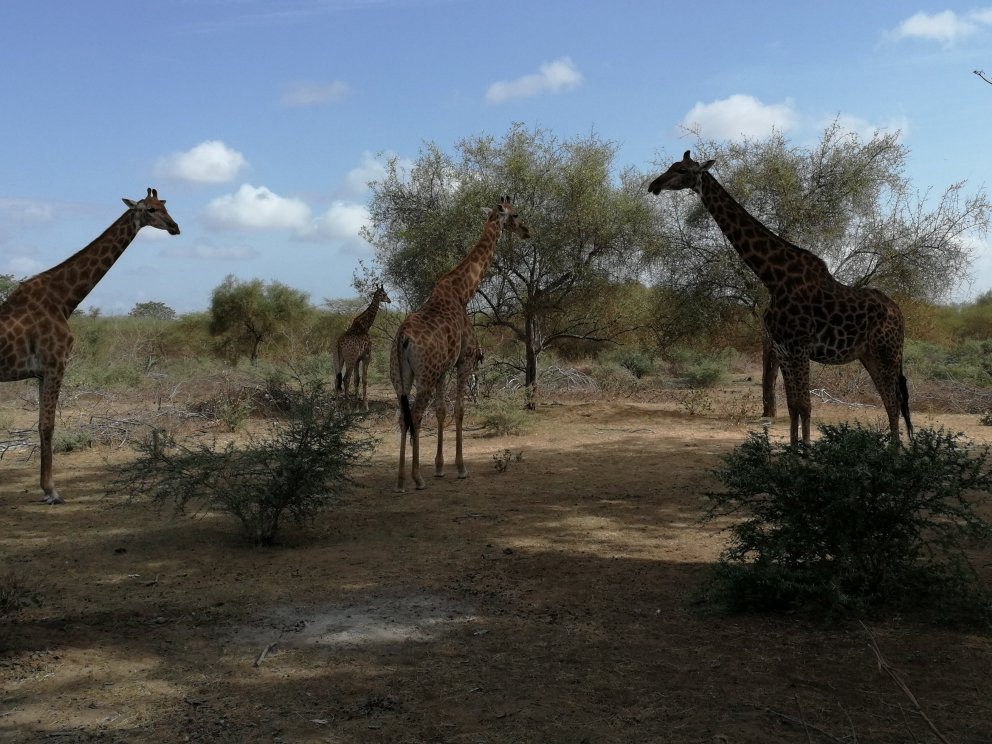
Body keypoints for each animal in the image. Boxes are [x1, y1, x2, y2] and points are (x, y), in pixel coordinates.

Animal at [0, 189, 180, 506]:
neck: (64, 299)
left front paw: (46, 488)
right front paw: (51, 491)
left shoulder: (42, 372)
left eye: (165, 205)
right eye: (150, 209)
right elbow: (47, 426)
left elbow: (41, 424)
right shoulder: (55, 364)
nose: (175, 227)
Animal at [388, 198, 532, 492]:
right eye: (515, 215)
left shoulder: (444, 368)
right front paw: (461, 467)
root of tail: (403, 338)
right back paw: (416, 478)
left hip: (401, 377)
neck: (463, 292)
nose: (527, 231)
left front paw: (440, 467)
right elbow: (460, 410)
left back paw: (400, 480)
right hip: (425, 375)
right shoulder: (464, 361)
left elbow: (442, 411)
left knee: (402, 416)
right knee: (416, 415)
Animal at [648, 150, 912, 442]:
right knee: (890, 401)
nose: (653, 185)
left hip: (888, 351)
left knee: (894, 402)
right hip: (869, 355)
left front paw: (806, 451)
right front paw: (793, 449)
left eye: (682, 170)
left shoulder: (799, 346)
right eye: (672, 166)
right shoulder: (782, 348)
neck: (772, 278)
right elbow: (793, 405)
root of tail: (900, 314)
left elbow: (805, 406)